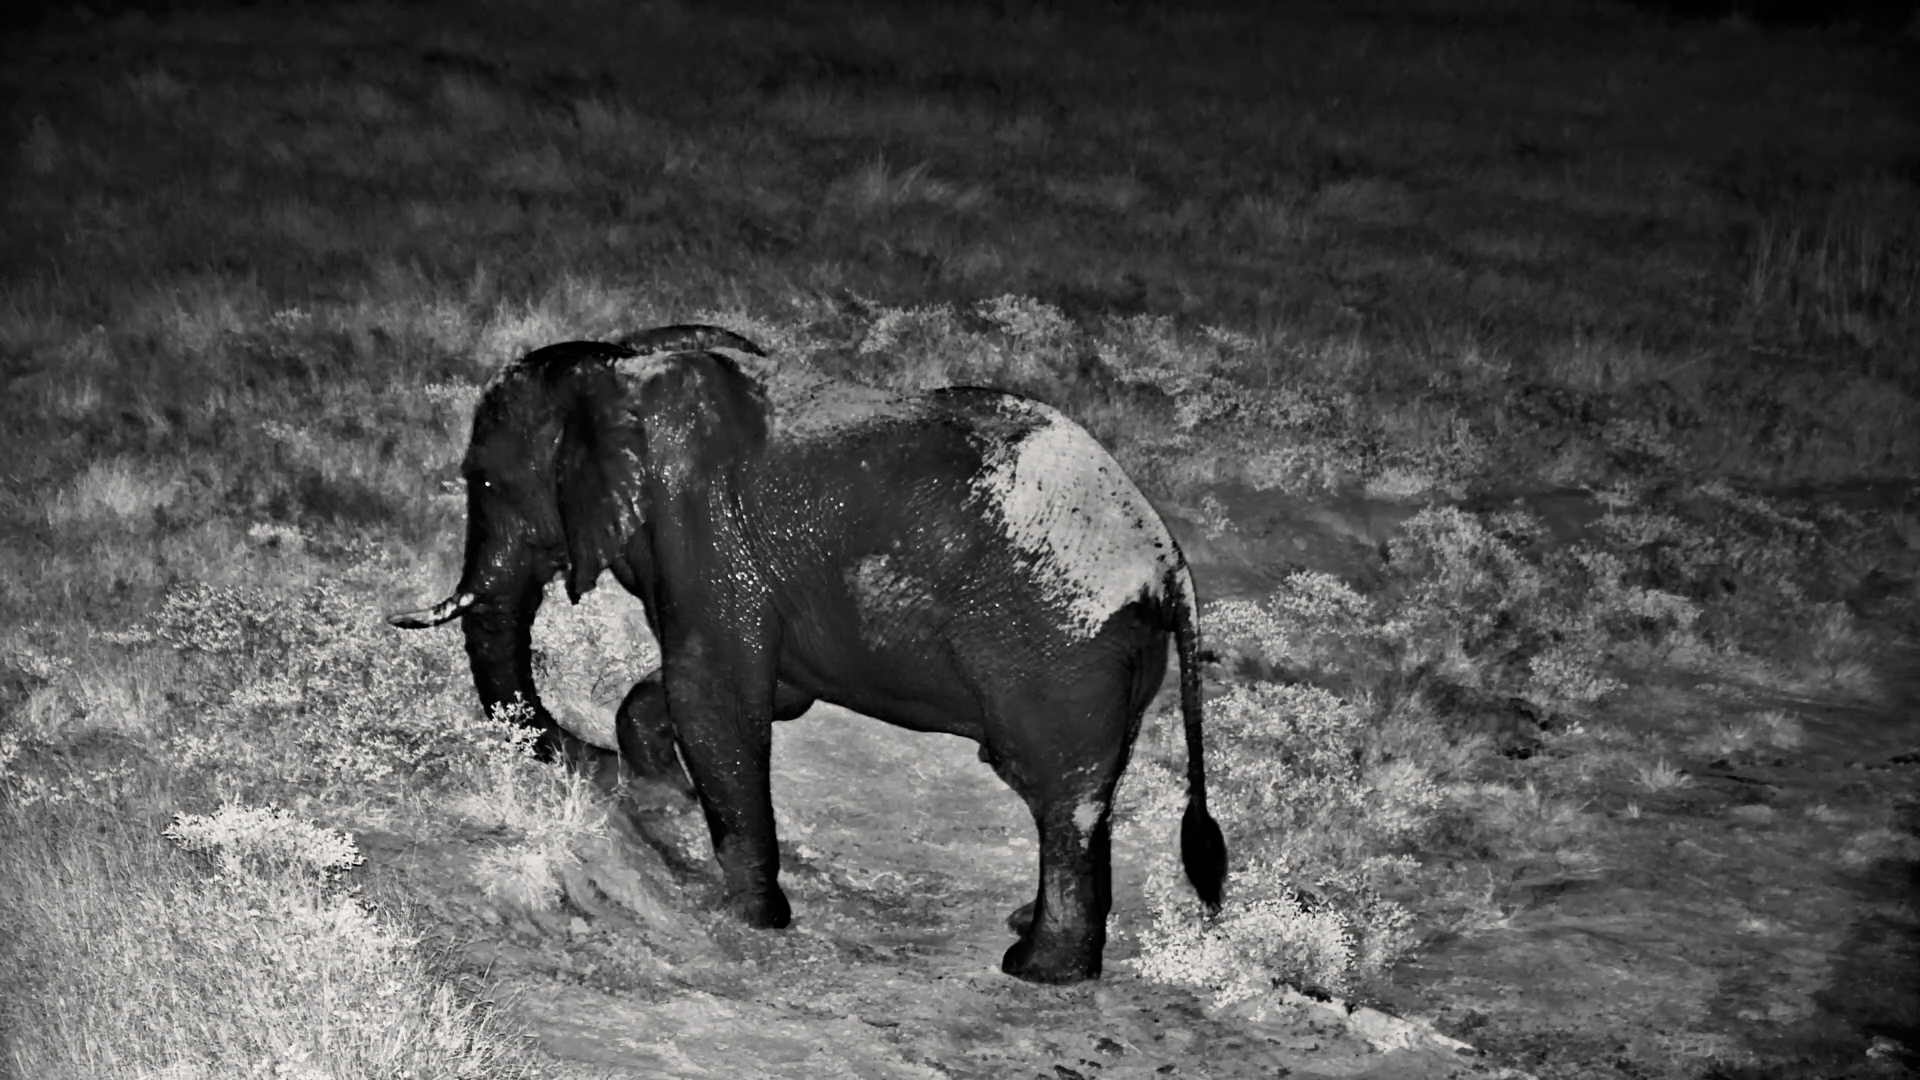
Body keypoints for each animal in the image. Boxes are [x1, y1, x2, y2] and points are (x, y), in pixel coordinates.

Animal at [391, 324, 1226, 983]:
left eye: (483, 481)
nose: (587, 762)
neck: (619, 366)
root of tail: (1168, 562)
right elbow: (758, 689)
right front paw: (666, 798)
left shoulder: (701, 526)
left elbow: (717, 694)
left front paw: (745, 920)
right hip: (1112, 661)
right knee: (1086, 795)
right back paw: (1028, 931)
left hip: (1060, 655)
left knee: (1061, 800)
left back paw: (1036, 971)